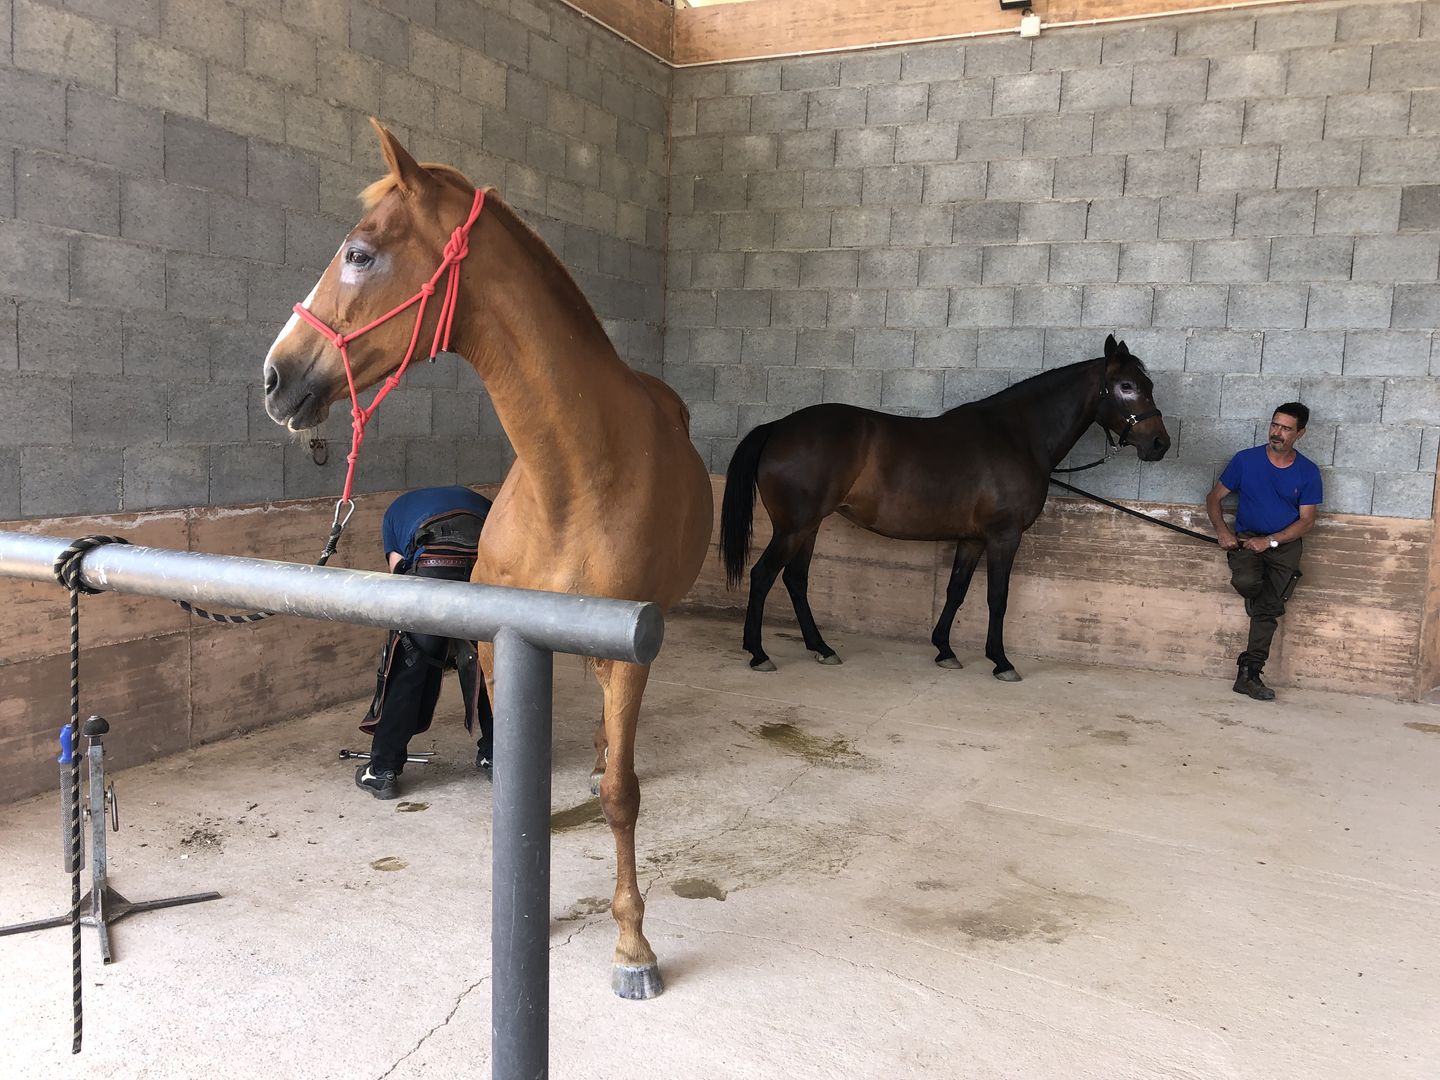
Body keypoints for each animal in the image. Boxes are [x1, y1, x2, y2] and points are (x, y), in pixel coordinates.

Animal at [260, 120, 713, 1000]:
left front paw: (632, 945)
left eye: (359, 253)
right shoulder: (505, 651)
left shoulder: (629, 655)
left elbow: (622, 798)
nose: (274, 375)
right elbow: (516, 781)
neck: (575, 475)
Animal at [719, 335, 1170, 679]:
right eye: (1126, 386)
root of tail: (778, 427)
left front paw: (944, 650)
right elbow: (997, 596)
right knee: (762, 576)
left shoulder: (971, 539)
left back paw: (821, 647)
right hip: (793, 528)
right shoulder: (1003, 537)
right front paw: (1001, 661)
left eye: (1145, 383)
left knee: (795, 580)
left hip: (809, 527)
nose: (1159, 444)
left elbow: (956, 590)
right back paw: (758, 653)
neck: (1018, 436)